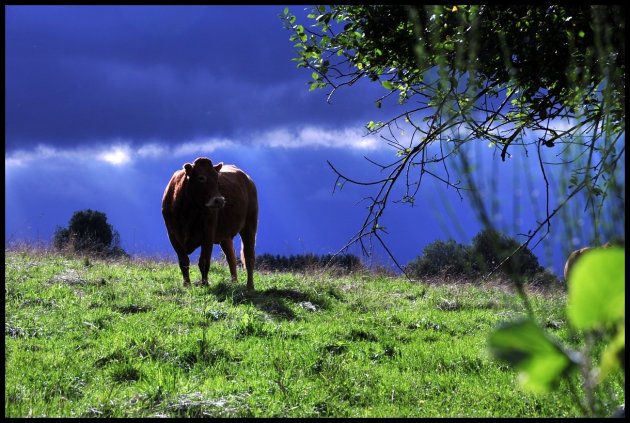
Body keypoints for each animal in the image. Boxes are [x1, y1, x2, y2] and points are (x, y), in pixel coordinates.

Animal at [165, 157, 262, 290]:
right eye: (201, 177)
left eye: (217, 178)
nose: (219, 200)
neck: (188, 211)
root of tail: (248, 179)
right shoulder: (172, 234)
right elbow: (183, 261)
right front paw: (187, 285)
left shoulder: (209, 232)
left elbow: (204, 261)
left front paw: (204, 284)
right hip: (225, 235)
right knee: (231, 257)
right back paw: (234, 283)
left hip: (250, 224)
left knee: (249, 256)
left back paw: (250, 286)